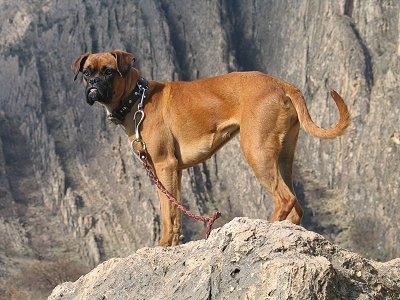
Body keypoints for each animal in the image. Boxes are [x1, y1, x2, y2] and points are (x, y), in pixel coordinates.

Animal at [72, 49, 350, 246]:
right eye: (87, 72)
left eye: (109, 72)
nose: (93, 83)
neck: (137, 98)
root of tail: (281, 84)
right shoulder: (171, 173)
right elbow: (173, 213)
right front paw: (171, 245)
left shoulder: (165, 166)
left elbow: (168, 214)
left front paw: (164, 246)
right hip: (283, 158)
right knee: (296, 206)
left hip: (257, 152)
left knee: (285, 198)